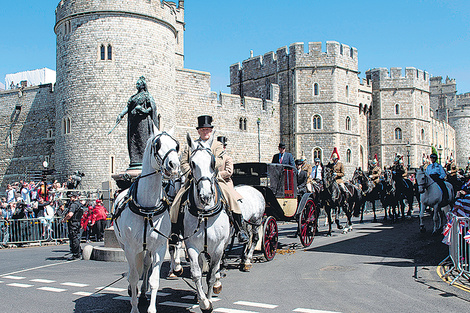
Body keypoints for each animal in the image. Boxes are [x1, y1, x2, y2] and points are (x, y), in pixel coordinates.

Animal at [113, 128, 181, 310]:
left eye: (176, 145)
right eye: (157, 144)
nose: (174, 165)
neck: (148, 208)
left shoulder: (159, 247)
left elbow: (154, 279)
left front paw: (151, 308)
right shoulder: (130, 247)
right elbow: (133, 277)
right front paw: (134, 308)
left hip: (147, 248)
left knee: (145, 264)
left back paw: (143, 293)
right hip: (124, 245)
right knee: (132, 270)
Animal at [183, 133, 230, 310]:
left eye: (213, 162)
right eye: (192, 163)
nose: (205, 196)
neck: (204, 214)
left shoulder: (218, 246)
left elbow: (211, 274)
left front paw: (209, 300)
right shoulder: (191, 246)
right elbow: (196, 273)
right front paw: (203, 301)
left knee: (215, 269)